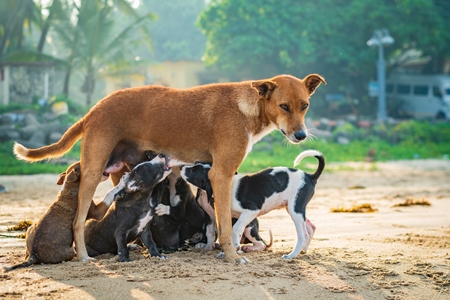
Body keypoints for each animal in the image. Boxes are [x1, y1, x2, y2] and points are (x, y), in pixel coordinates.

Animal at [181, 150, 326, 260]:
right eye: (196, 163)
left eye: (194, 171)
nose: (182, 167)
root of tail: (309, 176)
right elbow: (219, 232)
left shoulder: (251, 210)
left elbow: (235, 229)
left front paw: (233, 249)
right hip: (294, 209)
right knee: (311, 227)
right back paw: (303, 250)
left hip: (294, 209)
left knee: (302, 235)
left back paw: (291, 255)